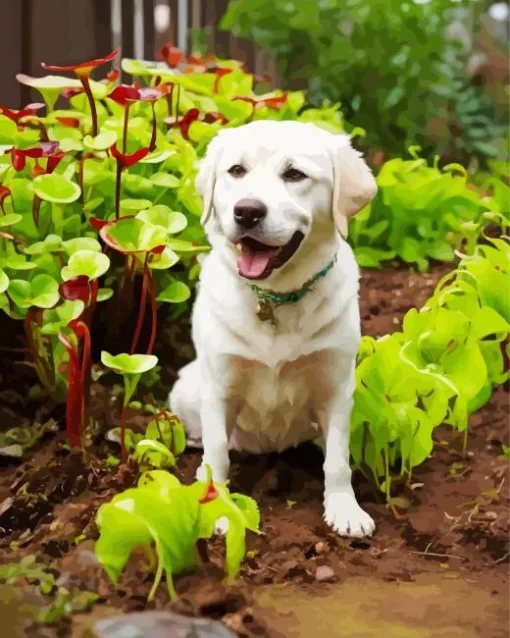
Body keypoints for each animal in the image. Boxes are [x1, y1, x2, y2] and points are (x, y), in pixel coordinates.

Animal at [169, 120, 376, 540]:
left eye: (294, 174)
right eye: (236, 171)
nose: (247, 211)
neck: (275, 297)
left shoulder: (336, 386)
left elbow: (338, 459)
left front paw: (344, 508)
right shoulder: (219, 384)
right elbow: (218, 453)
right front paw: (218, 507)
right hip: (187, 387)